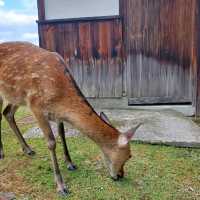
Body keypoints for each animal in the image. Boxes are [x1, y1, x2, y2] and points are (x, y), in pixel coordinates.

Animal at [0, 41, 141, 196]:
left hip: (16, 96)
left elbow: (62, 135)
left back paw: (28, 149)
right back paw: (2, 153)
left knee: (7, 113)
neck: (60, 96)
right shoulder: (35, 105)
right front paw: (61, 186)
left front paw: (70, 164)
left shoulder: (57, 113)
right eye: (129, 155)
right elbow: (51, 143)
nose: (120, 175)